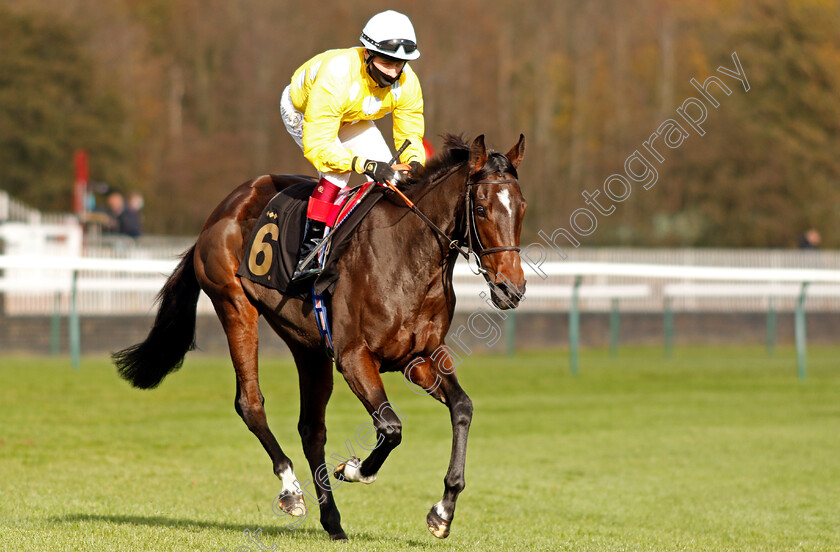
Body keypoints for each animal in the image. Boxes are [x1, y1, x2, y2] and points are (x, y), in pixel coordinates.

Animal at [111, 134, 524, 540]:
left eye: (521, 207)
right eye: (482, 209)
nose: (512, 288)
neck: (408, 256)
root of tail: (225, 207)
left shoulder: (420, 357)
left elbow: (462, 408)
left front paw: (442, 511)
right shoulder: (354, 357)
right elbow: (391, 428)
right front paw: (354, 469)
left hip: (305, 344)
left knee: (311, 428)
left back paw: (333, 521)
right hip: (234, 305)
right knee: (250, 403)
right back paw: (291, 490)